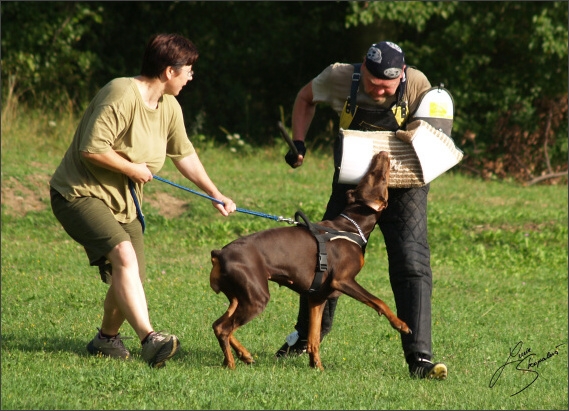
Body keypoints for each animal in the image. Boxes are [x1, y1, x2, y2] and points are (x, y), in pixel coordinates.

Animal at [207, 151, 408, 370]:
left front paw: (317, 366)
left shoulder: (317, 296)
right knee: (224, 328)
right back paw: (231, 363)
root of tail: (219, 253)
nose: (382, 153)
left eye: (367, 177)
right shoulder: (343, 280)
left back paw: (244, 354)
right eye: (379, 177)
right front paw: (401, 324)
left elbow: (313, 337)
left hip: (238, 296)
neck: (352, 227)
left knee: (218, 324)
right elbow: (378, 301)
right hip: (256, 298)